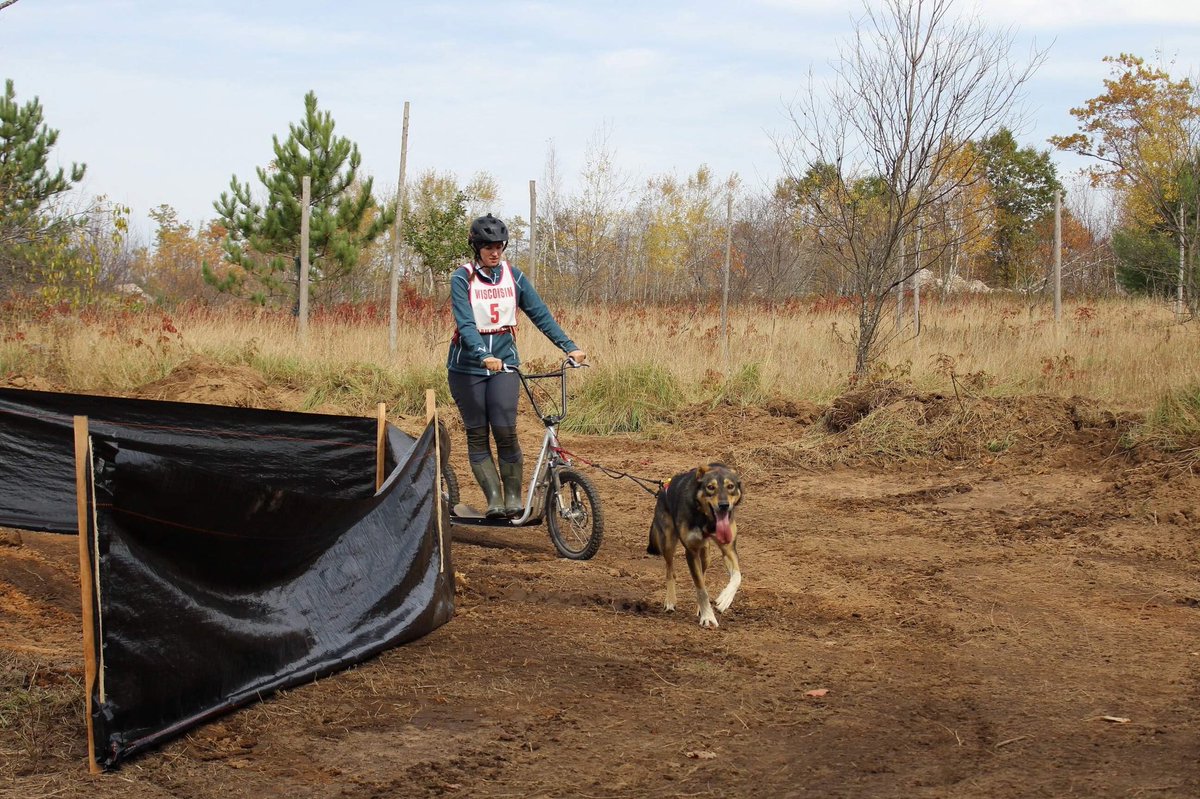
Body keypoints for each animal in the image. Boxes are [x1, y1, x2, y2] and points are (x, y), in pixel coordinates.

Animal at [648, 463, 739, 623]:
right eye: (710, 487)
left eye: (730, 486)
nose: (724, 505)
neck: (706, 520)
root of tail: (664, 487)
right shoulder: (691, 551)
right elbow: (701, 588)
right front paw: (708, 617)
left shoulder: (728, 548)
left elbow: (737, 576)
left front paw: (725, 599)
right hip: (668, 543)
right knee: (670, 571)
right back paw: (670, 601)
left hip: (706, 555)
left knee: (702, 574)